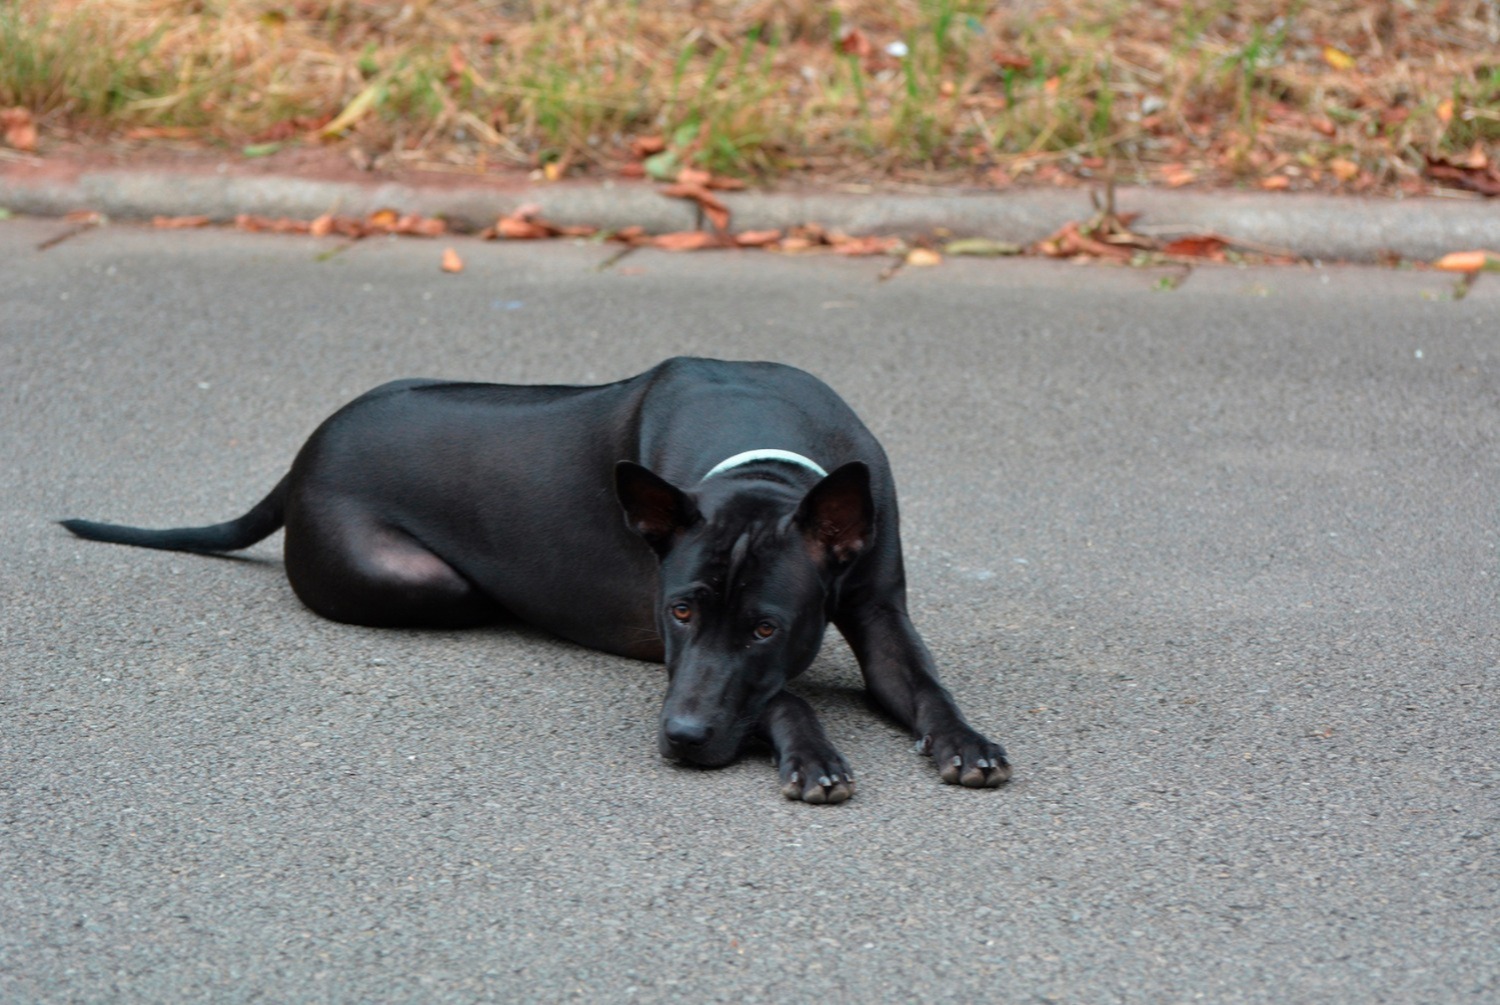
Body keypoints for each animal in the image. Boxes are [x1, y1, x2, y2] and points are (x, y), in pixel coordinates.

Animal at [64, 358, 1014, 810]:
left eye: (765, 628)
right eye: (679, 610)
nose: (680, 737)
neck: (763, 465)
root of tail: (304, 452)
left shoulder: (880, 612)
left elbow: (924, 683)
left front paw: (964, 740)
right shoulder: (673, 653)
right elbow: (782, 696)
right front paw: (811, 751)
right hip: (421, 582)